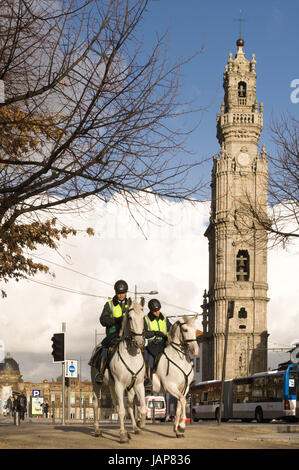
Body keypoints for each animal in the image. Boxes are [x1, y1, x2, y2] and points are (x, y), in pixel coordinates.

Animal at [91, 300, 148, 442]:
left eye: (143, 317)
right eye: (130, 317)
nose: (139, 342)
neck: (131, 355)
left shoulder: (138, 385)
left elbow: (142, 409)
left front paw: (140, 424)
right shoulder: (119, 385)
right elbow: (122, 411)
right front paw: (122, 435)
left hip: (115, 386)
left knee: (119, 404)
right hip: (97, 384)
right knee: (96, 404)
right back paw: (97, 430)